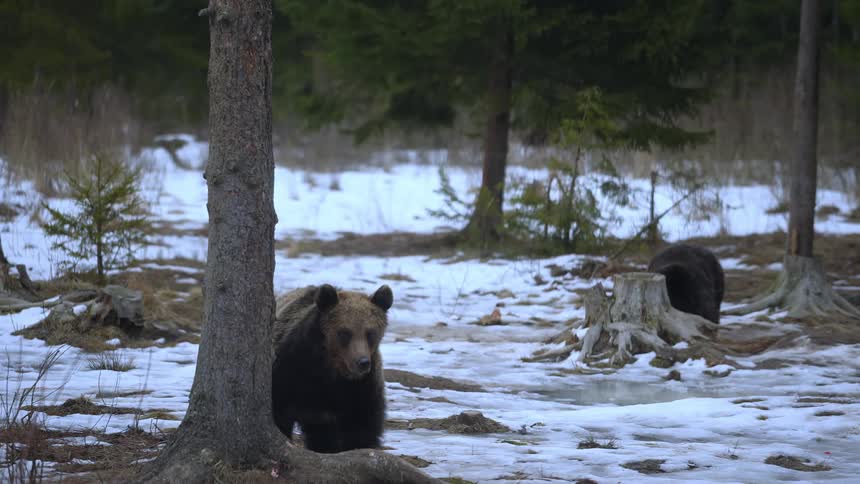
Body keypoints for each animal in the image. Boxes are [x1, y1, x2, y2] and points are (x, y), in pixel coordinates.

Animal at [271, 283, 393, 453]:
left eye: (370, 333)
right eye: (344, 332)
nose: (362, 362)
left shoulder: (363, 390)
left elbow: (363, 432)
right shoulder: (291, 372)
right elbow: (280, 414)